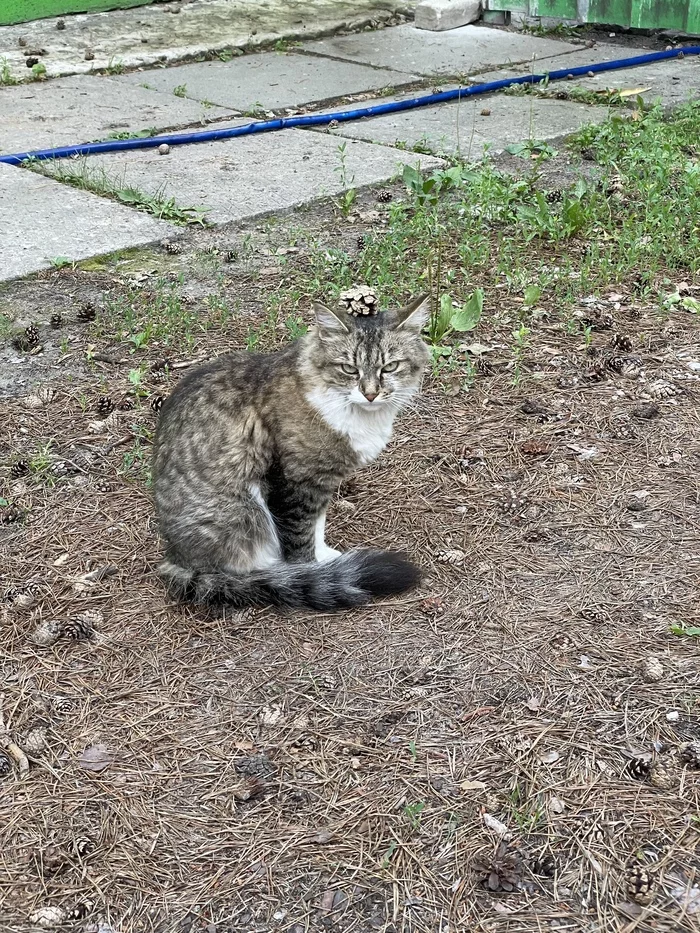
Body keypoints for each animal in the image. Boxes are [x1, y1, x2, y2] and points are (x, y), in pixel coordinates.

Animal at [150, 294, 430, 612]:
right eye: (349, 369)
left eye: (390, 367)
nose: (370, 394)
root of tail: (176, 562)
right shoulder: (293, 483)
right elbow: (300, 537)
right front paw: (312, 572)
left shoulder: (321, 481)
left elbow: (317, 524)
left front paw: (325, 557)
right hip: (243, 510)